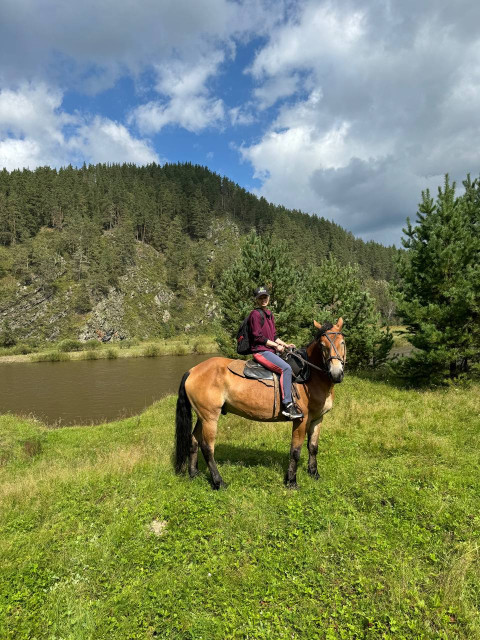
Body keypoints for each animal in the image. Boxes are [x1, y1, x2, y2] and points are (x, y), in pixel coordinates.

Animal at [175, 318, 344, 488]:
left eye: (342, 342)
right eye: (322, 345)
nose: (336, 373)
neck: (310, 375)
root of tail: (192, 370)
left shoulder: (317, 419)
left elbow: (313, 447)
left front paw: (314, 474)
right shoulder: (301, 421)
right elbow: (295, 451)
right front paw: (291, 481)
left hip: (202, 416)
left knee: (193, 441)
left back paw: (194, 473)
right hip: (210, 417)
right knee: (207, 447)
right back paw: (218, 482)